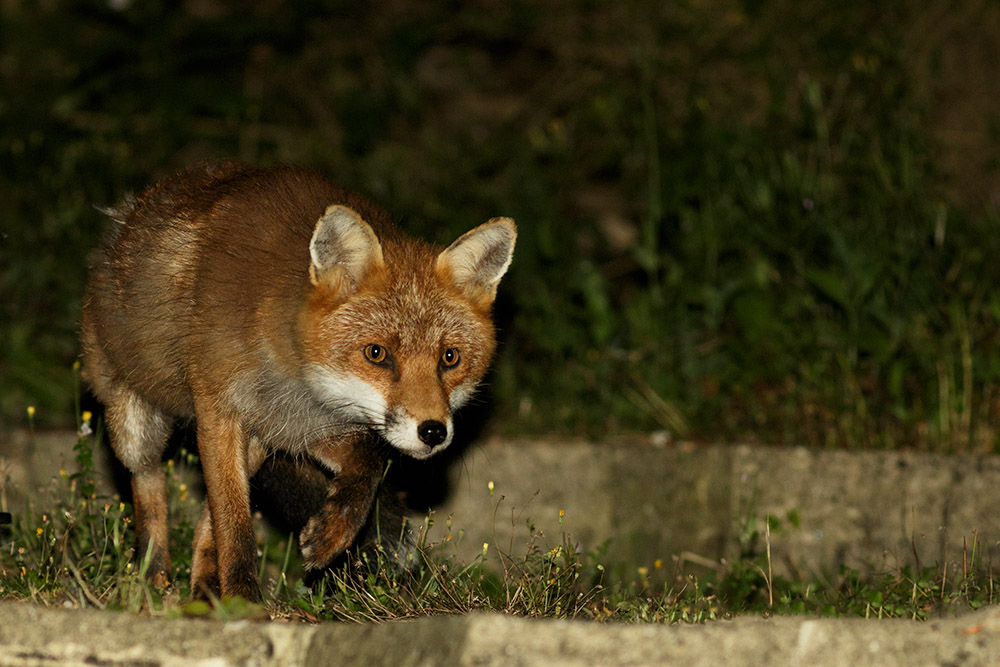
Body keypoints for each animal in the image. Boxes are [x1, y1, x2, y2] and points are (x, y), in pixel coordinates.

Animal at [80, 162, 516, 602]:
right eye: (376, 353)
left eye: (449, 358)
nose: (432, 431)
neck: (297, 376)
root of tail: (127, 215)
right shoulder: (221, 410)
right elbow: (233, 522)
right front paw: (243, 600)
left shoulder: (300, 426)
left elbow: (368, 463)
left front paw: (333, 532)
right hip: (133, 421)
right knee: (149, 481)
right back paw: (153, 579)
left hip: (258, 441)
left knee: (207, 513)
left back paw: (203, 586)